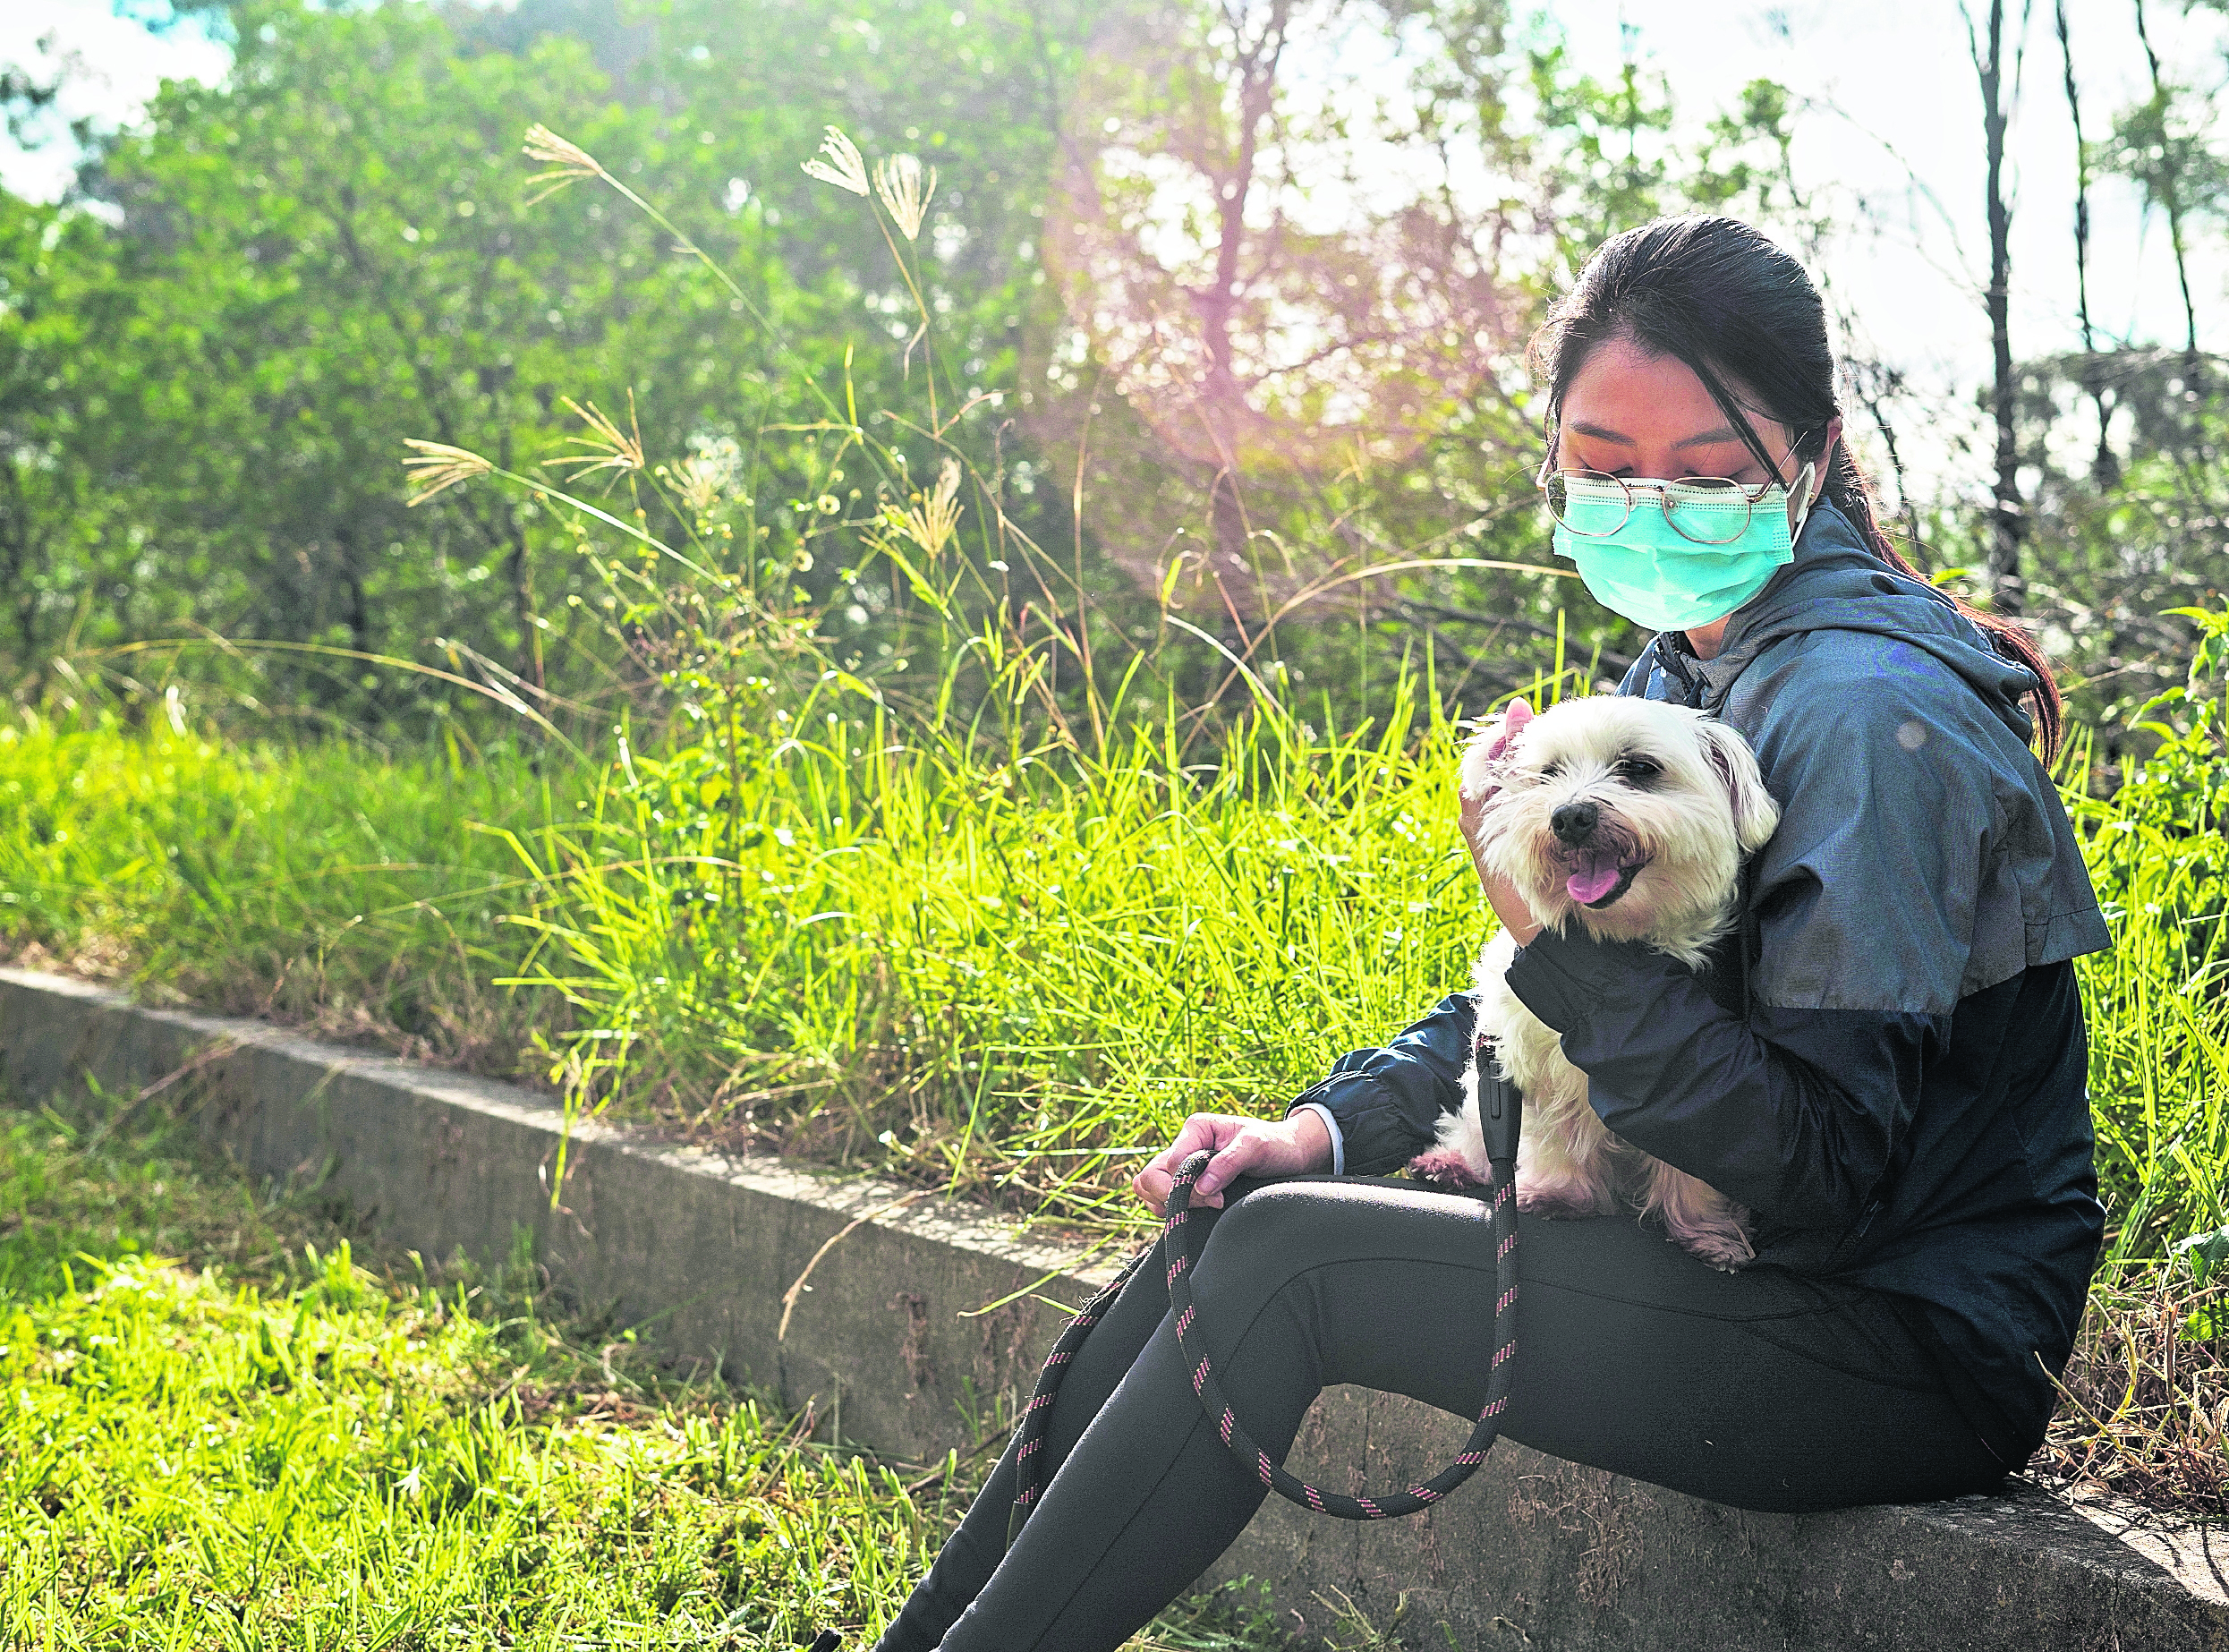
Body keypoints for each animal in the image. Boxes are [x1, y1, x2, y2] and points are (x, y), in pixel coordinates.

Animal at [1417, 691, 1782, 1266]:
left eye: (1639, 768)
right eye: (1548, 773)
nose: (1568, 816)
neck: (1621, 941)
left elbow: (1698, 1152)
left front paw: (1707, 1230)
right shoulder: (1530, 1063)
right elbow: (1557, 1134)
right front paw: (1562, 1195)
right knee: (1474, 1130)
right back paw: (1451, 1163)